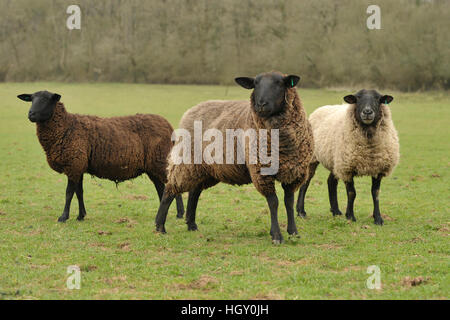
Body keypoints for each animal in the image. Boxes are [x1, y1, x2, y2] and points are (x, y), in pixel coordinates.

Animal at [16, 90, 184, 222]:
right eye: (31, 99)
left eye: (46, 100)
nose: (31, 114)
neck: (67, 126)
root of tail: (168, 126)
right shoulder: (78, 166)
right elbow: (79, 192)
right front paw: (81, 216)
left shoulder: (73, 164)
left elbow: (69, 193)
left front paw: (63, 217)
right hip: (153, 166)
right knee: (162, 188)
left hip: (160, 161)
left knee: (171, 185)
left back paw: (180, 214)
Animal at [153, 72, 314, 242]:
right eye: (255, 84)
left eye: (279, 83)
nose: (261, 104)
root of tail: (193, 109)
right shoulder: (261, 172)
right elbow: (274, 202)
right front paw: (276, 235)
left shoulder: (294, 172)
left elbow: (288, 202)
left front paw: (293, 232)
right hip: (186, 160)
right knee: (170, 188)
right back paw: (160, 226)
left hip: (205, 169)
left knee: (194, 192)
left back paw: (191, 225)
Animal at [298, 89, 400, 225]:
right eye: (357, 99)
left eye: (378, 99)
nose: (367, 112)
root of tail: (320, 108)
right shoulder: (347, 168)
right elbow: (352, 193)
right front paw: (350, 216)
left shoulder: (378, 168)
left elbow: (376, 193)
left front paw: (378, 218)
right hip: (313, 158)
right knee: (306, 182)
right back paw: (301, 212)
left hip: (336, 161)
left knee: (331, 182)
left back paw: (336, 211)